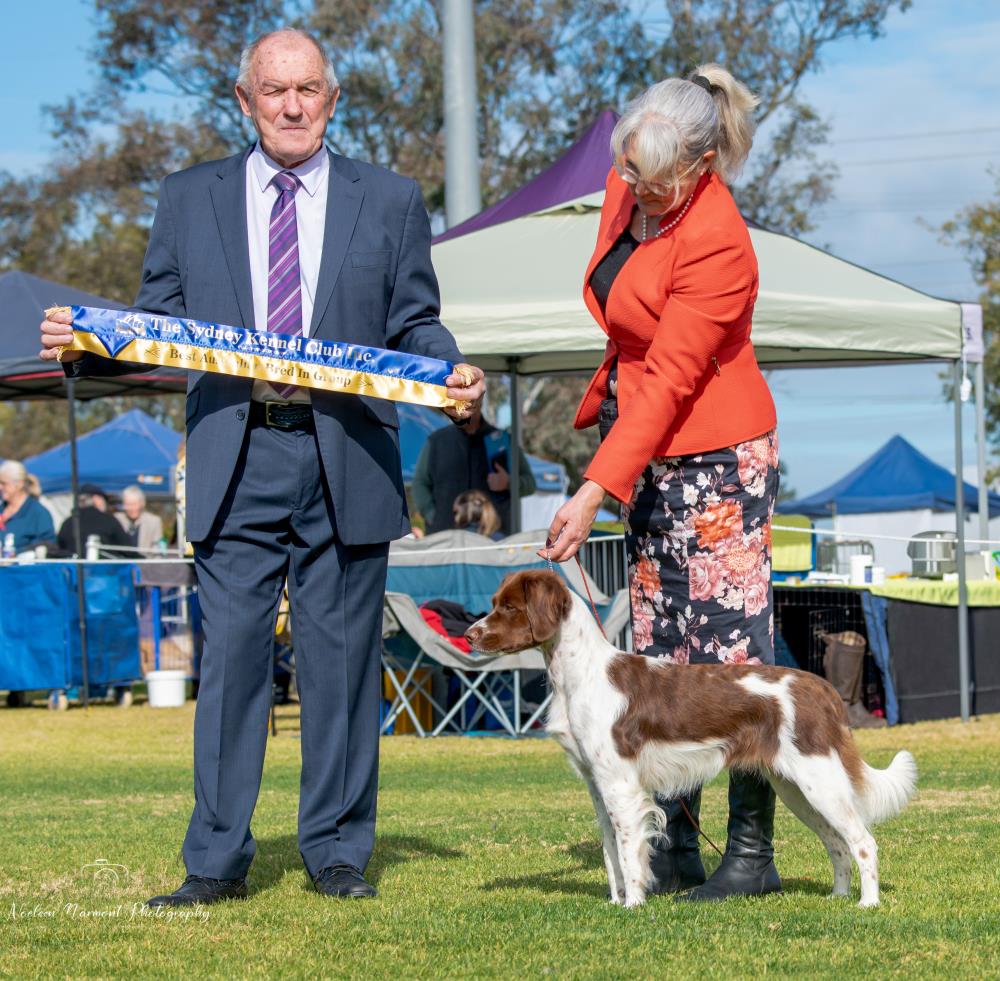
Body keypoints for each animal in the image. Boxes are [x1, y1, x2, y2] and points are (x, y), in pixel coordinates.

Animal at [466, 570, 916, 909]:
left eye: (509, 607)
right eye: (496, 601)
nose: (470, 634)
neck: (581, 675)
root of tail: (821, 688)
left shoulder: (621, 786)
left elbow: (628, 851)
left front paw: (632, 905)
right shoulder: (597, 783)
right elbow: (611, 852)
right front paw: (614, 902)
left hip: (819, 781)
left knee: (863, 841)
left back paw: (867, 904)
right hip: (796, 788)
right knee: (837, 843)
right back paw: (838, 897)